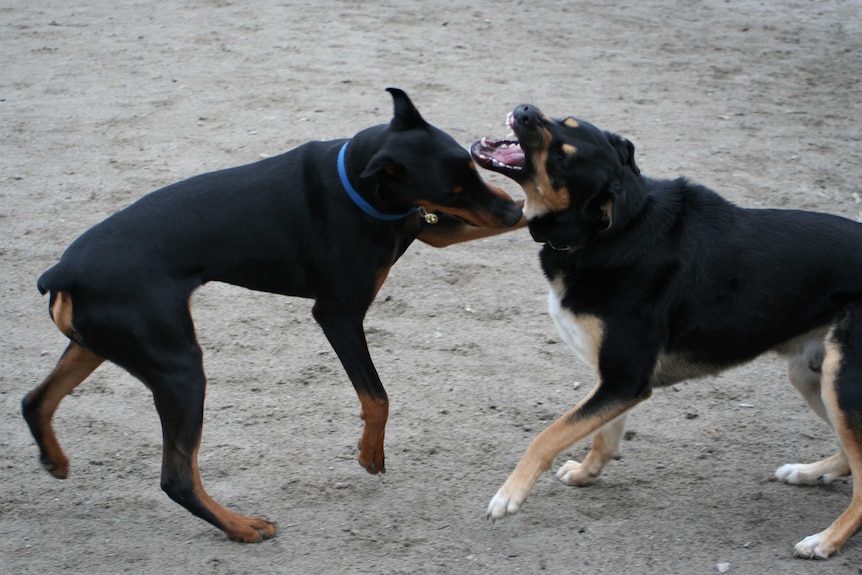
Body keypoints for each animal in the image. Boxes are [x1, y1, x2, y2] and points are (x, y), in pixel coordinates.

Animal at [22, 90, 528, 544]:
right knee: (177, 478)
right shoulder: (339, 315)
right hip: (179, 368)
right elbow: (377, 397)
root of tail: (63, 270)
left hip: (100, 345)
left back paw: (55, 461)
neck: (359, 186)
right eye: (452, 189)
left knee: (35, 400)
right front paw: (370, 453)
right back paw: (242, 527)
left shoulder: (434, 228)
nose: (508, 209)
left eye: (472, 168)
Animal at [476, 103, 862, 560]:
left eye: (563, 157)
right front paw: (587, 473)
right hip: (813, 376)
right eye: (564, 119)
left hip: (842, 384)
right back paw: (809, 473)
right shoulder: (617, 383)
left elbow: (547, 435)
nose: (525, 109)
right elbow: (604, 435)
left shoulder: (624, 380)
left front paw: (509, 495)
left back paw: (825, 540)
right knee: (852, 457)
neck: (607, 232)